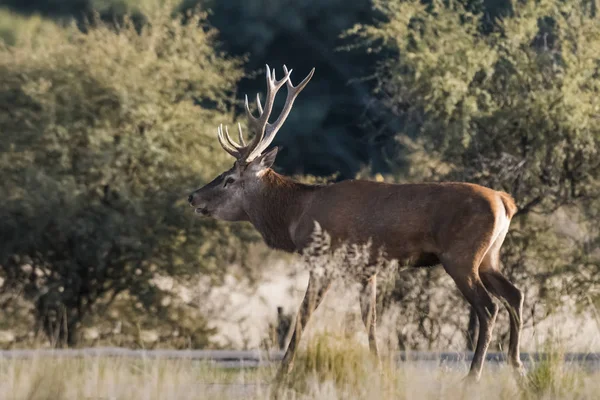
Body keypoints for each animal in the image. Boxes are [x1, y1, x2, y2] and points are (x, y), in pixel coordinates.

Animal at [189, 65, 524, 382]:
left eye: (229, 179)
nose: (193, 196)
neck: (296, 215)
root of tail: (505, 201)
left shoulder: (324, 260)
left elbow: (304, 315)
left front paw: (283, 372)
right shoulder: (368, 269)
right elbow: (370, 320)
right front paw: (380, 369)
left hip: (461, 256)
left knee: (489, 307)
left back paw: (474, 374)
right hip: (489, 256)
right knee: (514, 295)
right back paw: (516, 365)